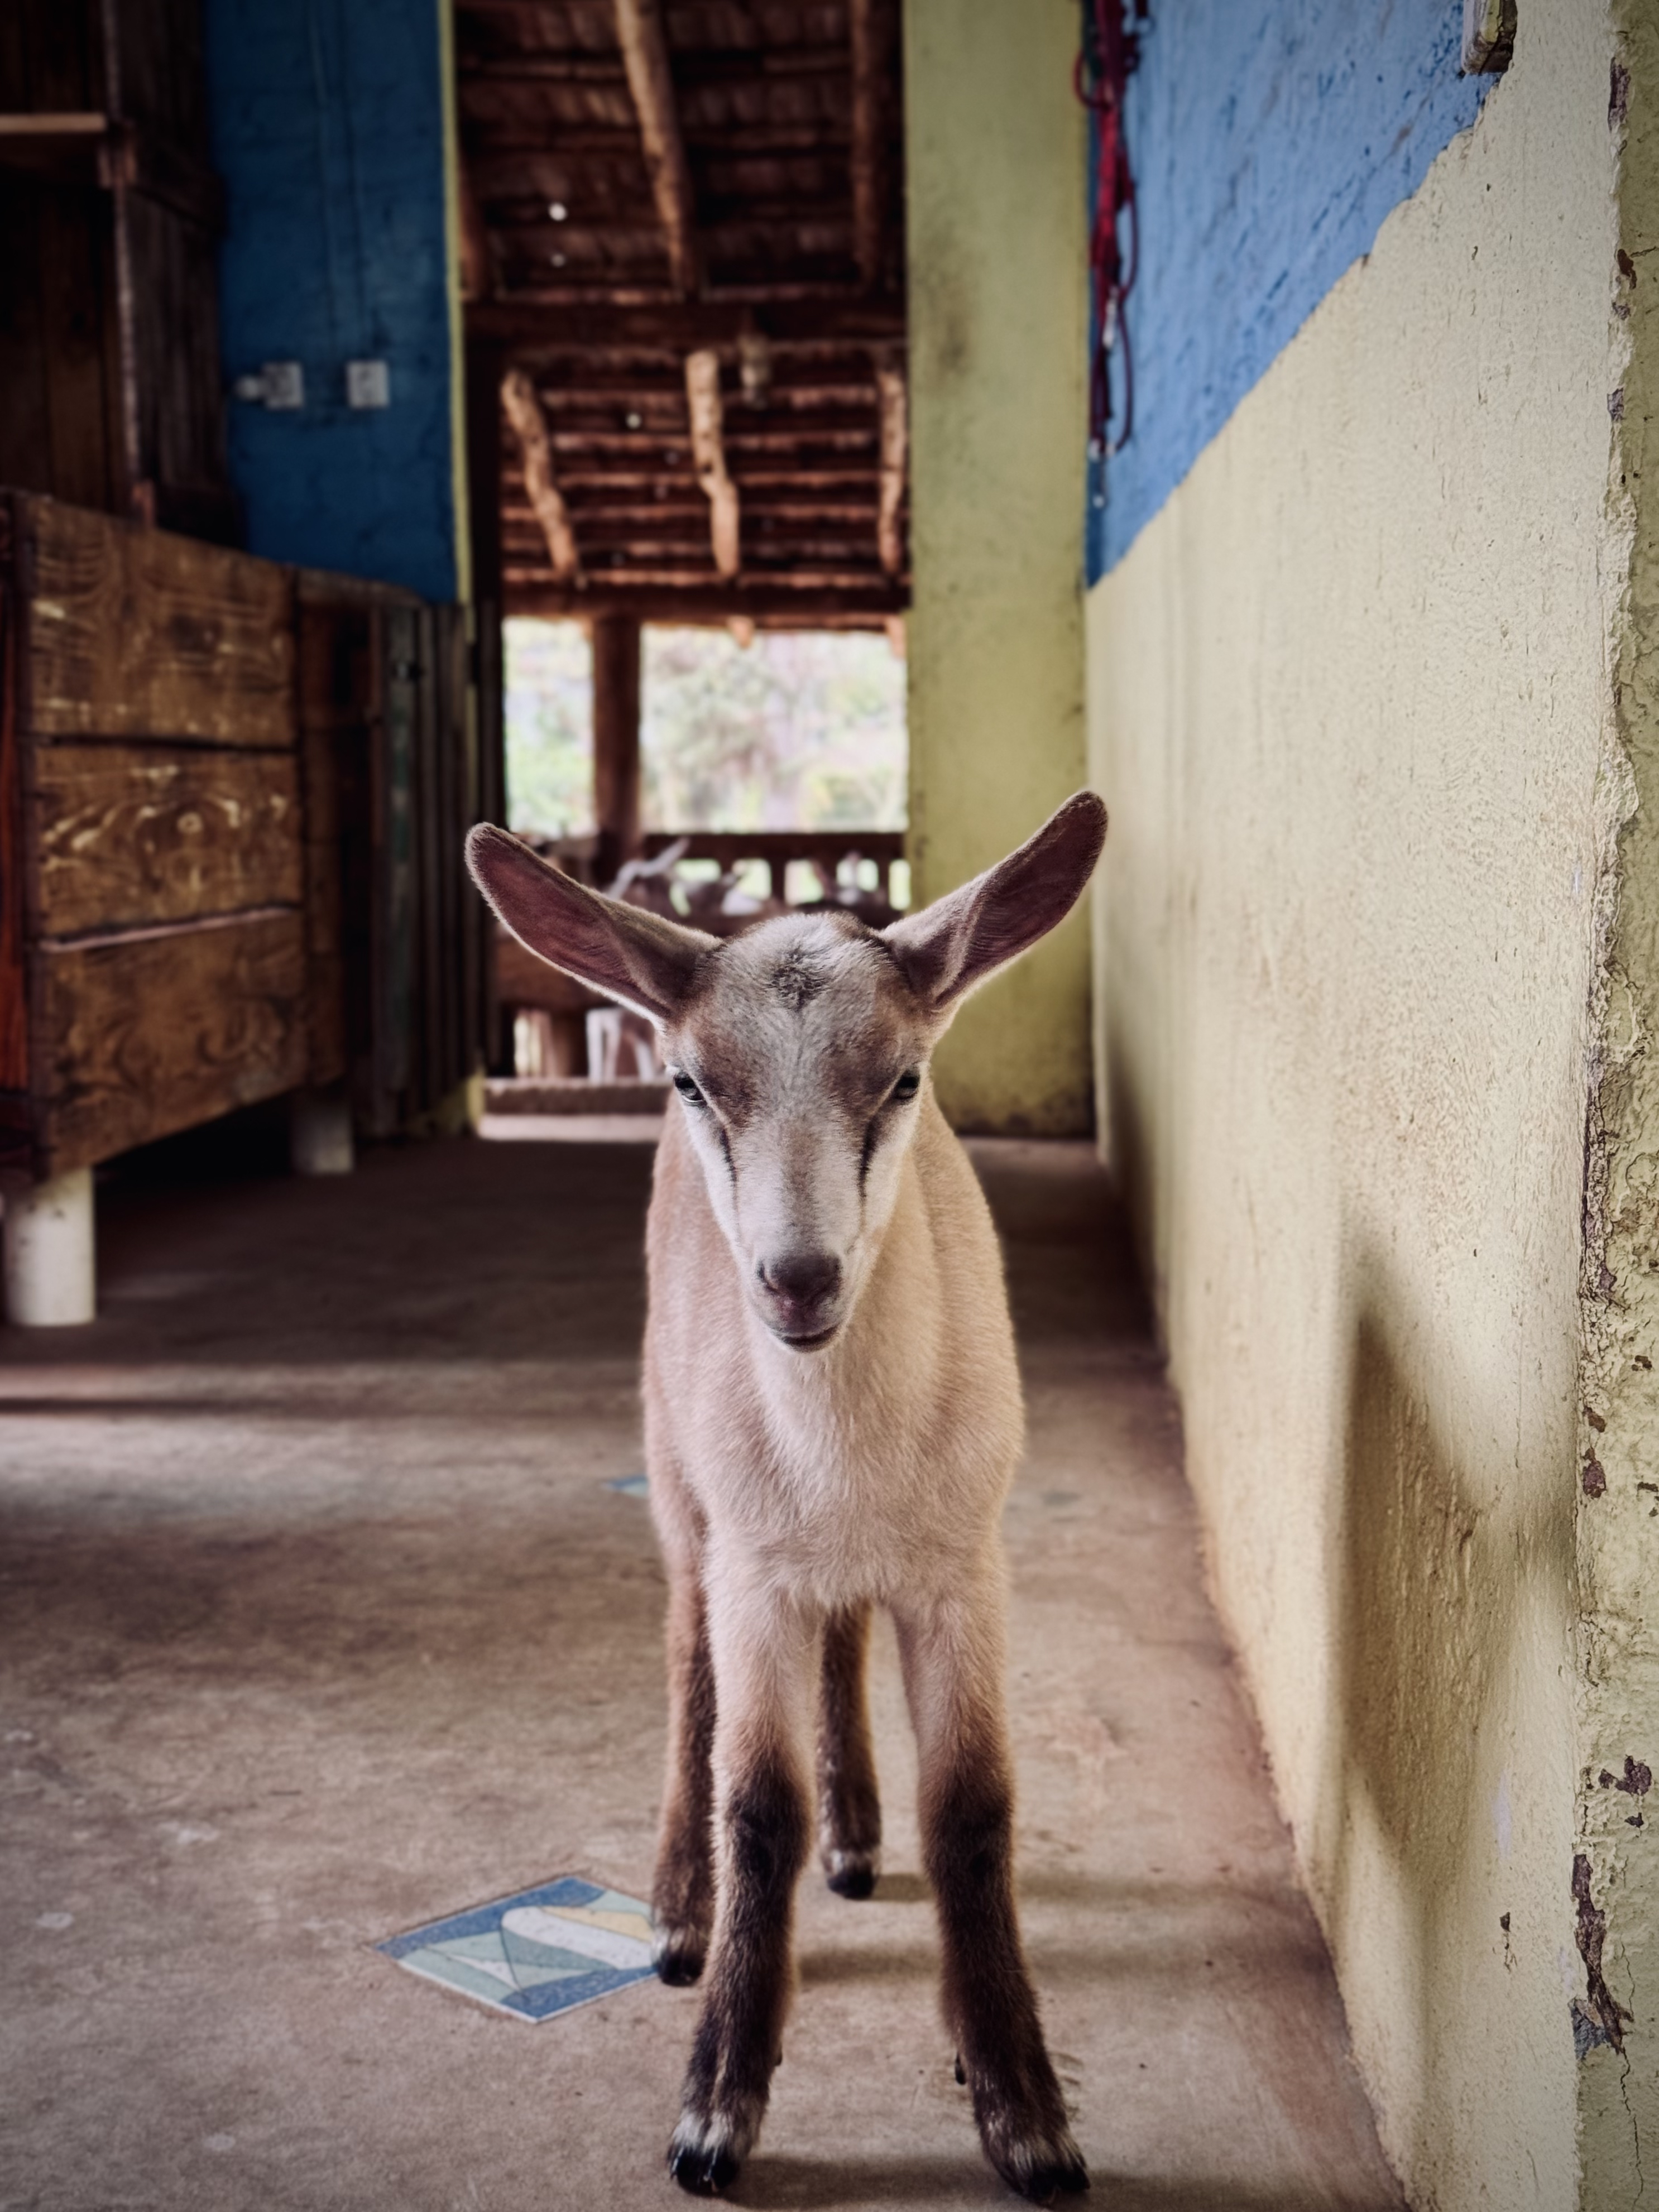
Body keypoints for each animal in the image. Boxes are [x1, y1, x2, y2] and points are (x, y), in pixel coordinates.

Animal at [469, 796, 1110, 2194]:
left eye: (905, 1079)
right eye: (692, 1082)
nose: (797, 1278)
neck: (845, 1449)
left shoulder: (965, 1560)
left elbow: (972, 1809)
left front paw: (1018, 2099)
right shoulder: (753, 1565)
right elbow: (757, 1805)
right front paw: (717, 2108)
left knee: (844, 1633)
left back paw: (859, 1830)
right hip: (675, 1465)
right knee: (684, 1654)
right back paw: (674, 1904)